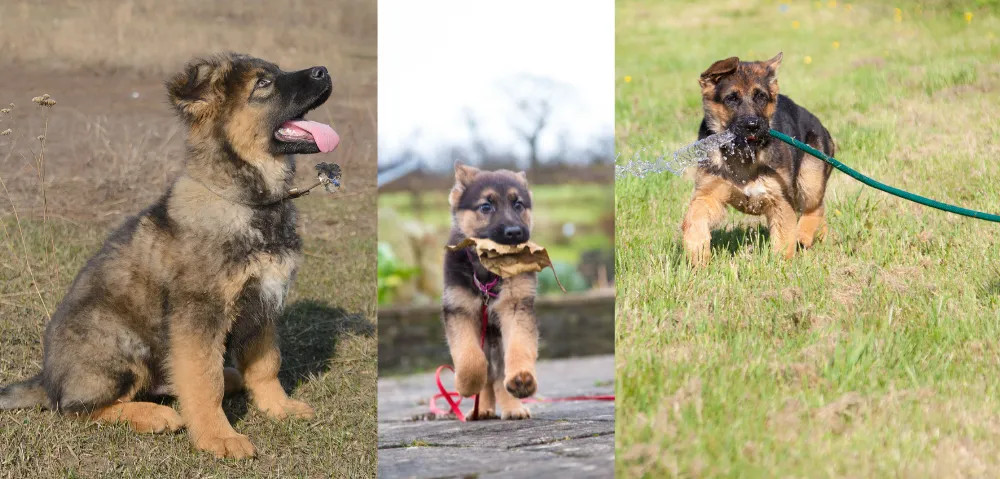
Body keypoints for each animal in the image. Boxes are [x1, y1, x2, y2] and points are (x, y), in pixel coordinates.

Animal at [0, 50, 340, 460]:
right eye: (263, 83)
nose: (324, 70)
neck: (249, 202)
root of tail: (47, 380)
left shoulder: (263, 306)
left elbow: (266, 365)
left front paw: (279, 407)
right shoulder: (199, 314)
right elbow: (204, 381)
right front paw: (218, 437)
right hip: (119, 340)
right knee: (76, 408)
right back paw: (154, 415)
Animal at [442, 164, 540, 420]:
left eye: (518, 205)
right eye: (486, 206)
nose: (514, 232)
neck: (488, 273)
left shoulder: (515, 307)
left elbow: (518, 348)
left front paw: (522, 379)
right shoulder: (459, 310)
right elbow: (471, 359)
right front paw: (465, 385)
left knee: (499, 374)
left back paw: (513, 407)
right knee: (489, 374)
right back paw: (482, 409)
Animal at [680, 54, 836, 268]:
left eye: (760, 97)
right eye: (731, 98)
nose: (753, 125)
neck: (743, 155)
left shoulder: (780, 199)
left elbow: (784, 238)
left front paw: (782, 267)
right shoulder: (709, 193)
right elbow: (695, 216)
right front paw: (697, 253)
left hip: (810, 177)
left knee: (815, 208)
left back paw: (803, 236)